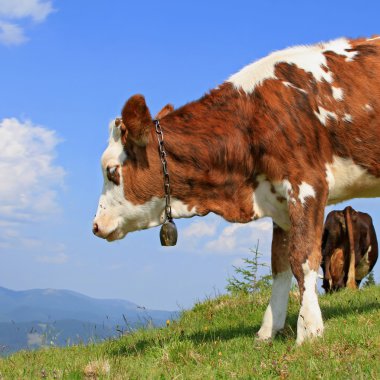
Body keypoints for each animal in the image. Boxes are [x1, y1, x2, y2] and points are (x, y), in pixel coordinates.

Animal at [93, 36, 380, 344]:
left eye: (112, 171)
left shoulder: (307, 185)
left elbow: (302, 259)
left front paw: (309, 330)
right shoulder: (279, 201)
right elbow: (280, 264)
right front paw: (268, 331)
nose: (96, 225)